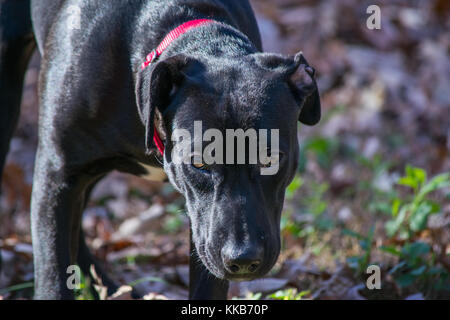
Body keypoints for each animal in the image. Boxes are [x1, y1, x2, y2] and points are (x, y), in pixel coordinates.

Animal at [0, 0, 320, 300]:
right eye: (199, 163)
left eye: (270, 160)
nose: (242, 258)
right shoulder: (58, 174)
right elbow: (52, 268)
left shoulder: (202, 224)